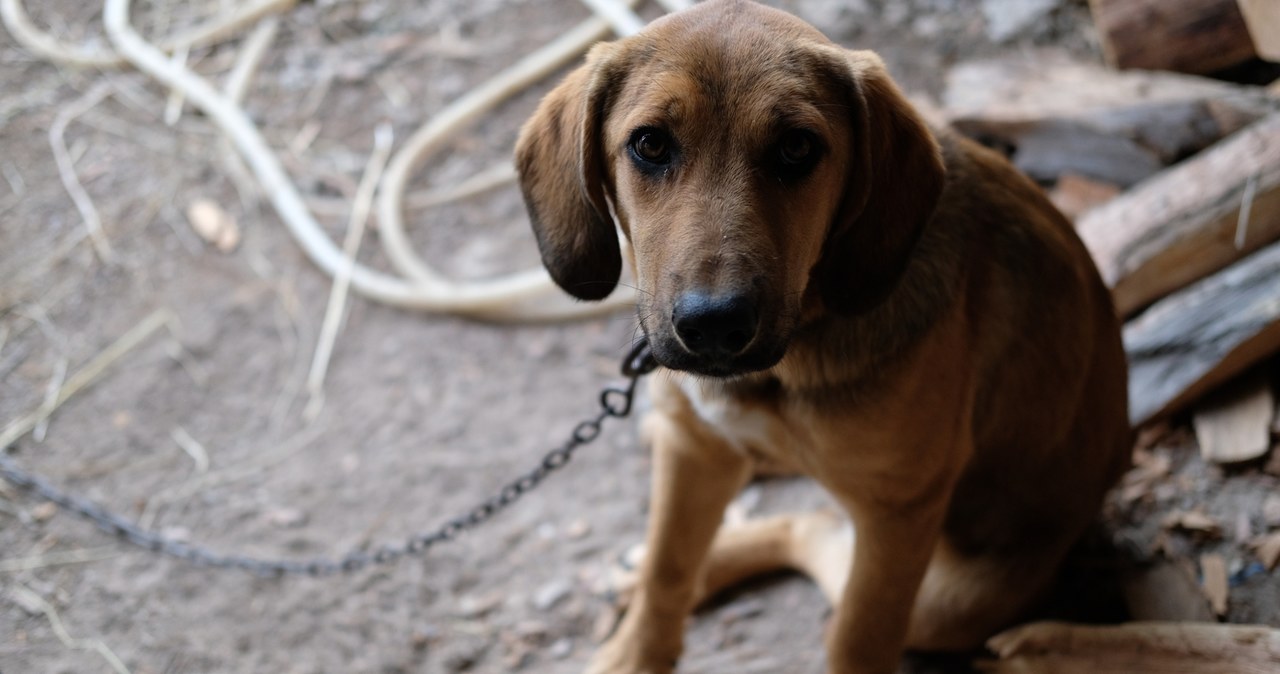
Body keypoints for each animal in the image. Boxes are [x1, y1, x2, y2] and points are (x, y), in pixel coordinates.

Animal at [509, 2, 1131, 670]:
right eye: (649, 144)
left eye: (797, 147)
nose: (714, 326)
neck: (787, 363)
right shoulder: (693, 444)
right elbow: (667, 571)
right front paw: (636, 650)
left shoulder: (897, 513)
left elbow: (857, 637)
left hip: (949, 599)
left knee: (812, 532)